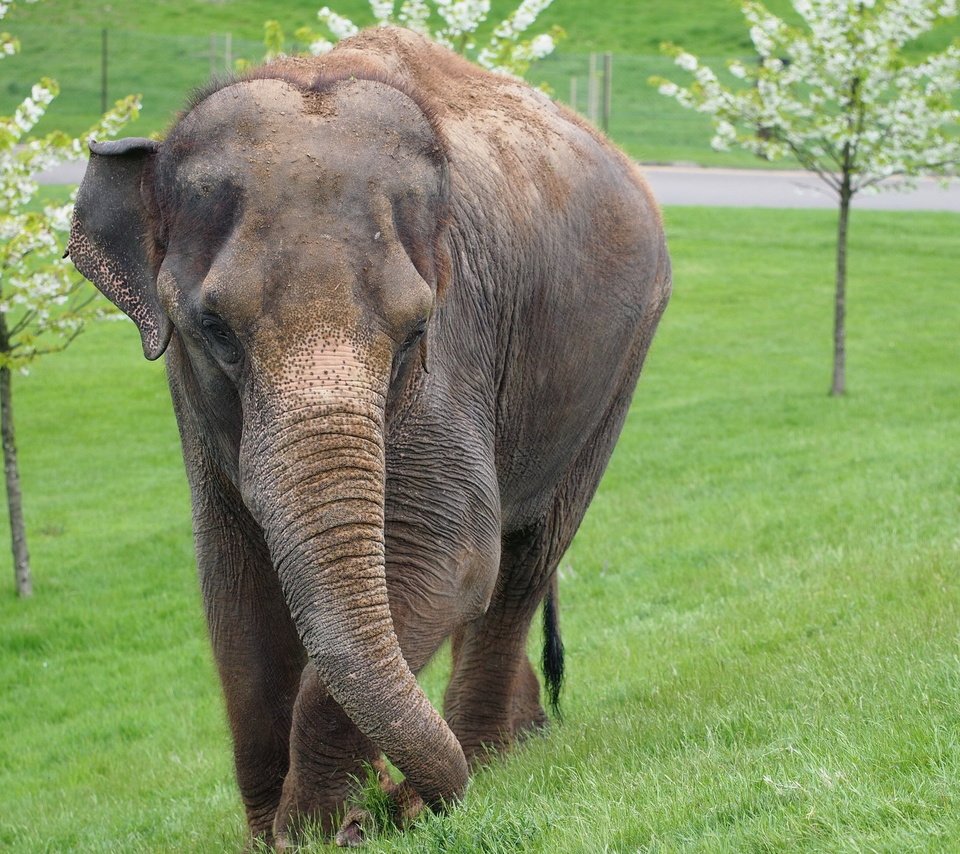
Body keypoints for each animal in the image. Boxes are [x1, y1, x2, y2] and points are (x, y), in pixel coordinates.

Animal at [67, 25, 672, 848]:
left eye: (416, 331)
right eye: (213, 328)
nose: (387, 798)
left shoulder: (458, 343)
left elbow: (450, 554)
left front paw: (325, 828)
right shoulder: (190, 400)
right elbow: (232, 581)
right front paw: (284, 832)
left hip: (619, 362)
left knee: (525, 557)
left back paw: (484, 760)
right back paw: (511, 746)